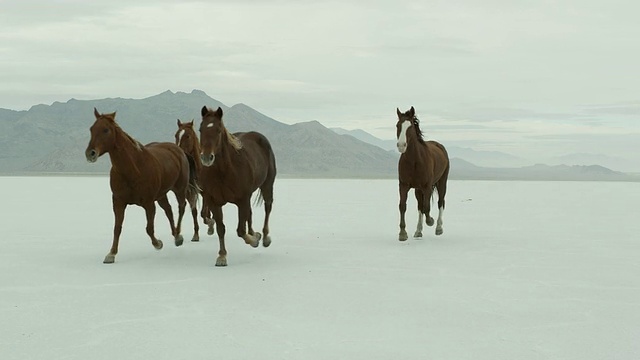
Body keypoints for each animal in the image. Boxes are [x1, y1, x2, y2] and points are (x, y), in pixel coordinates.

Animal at [85, 108, 198, 262]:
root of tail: (180, 150)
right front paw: (111, 253)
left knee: (182, 207)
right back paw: (175, 234)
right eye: (91, 129)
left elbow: (149, 228)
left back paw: (178, 236)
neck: (134, 169)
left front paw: (158, 244)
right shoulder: (118, 202)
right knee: (168, 210)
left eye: (105, 130)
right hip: (161, 194)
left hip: (179, 189)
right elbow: (117, 227)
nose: (90, 153)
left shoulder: (149, 203)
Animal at [199, 105, 276, 266]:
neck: (225, 171)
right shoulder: (214, 201)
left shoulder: (242, 200)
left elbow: (240, 231)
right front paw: (222, 256)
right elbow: (221, 228)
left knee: (268, 207)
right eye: (200, 129)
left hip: (267, 185)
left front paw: (254, 241)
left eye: (218, 130)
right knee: (250, 214)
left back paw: (265, 237)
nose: (206, 158)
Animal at [396, 107, 450, 242]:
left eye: (410, 126)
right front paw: (403, 233)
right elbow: (403, 206)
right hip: (418, 189)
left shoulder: (427, 186)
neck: (414, 160)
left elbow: (427, 207)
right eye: (398, 125)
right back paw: (418, 231)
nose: (401, 145)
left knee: (440, 202)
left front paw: (430, 221)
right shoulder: (403, 185)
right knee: (420, 206)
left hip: (442, 182)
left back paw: (438, 227)